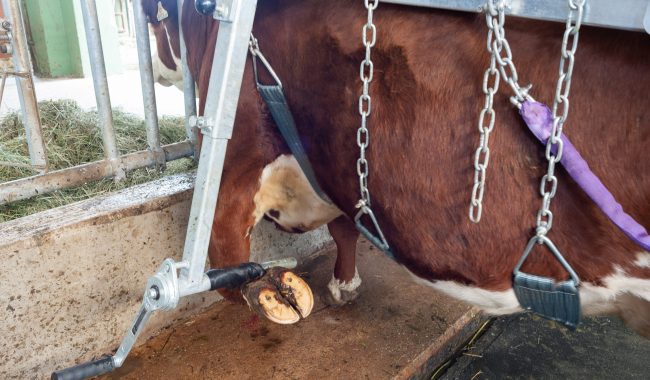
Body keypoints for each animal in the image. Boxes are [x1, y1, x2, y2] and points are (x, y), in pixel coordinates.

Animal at [144, 0, 648, 336]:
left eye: (149, 21)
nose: (157, 71)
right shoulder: (340, 166)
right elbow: (344, 227)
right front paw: (345, 283)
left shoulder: (235, 155)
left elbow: (223, 255)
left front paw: (271, 289)